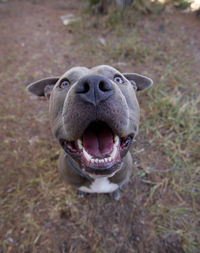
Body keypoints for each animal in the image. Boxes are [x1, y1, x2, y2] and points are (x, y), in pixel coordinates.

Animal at [27, 65, 153, 200]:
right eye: (64, 83)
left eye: (118, 79)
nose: (94, 84)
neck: (99, 178)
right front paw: (81, 192)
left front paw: (115, 193)